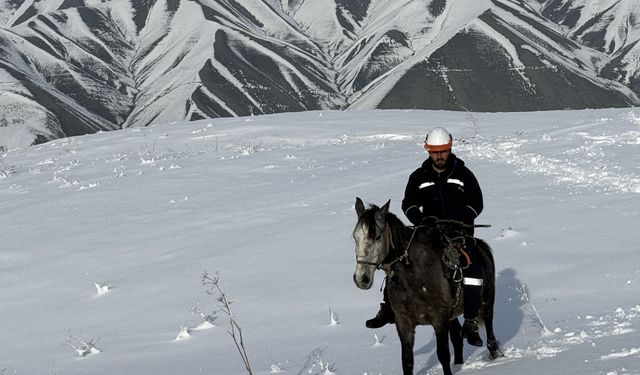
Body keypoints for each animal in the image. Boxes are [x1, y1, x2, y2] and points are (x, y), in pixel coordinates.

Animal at [352, 198, 502, 374]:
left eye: (378, 236)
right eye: (355, 237)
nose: (362, 279)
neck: (414, 277)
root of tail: (482, 246)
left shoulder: (439, 320)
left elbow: (443, 355)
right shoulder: (404, 322)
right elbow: (407, 360)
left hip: (487, 300)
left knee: (488, 323)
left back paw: (494, 350)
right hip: (452, 315)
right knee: (457, 337)